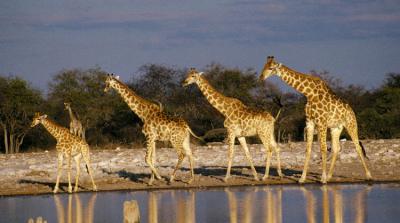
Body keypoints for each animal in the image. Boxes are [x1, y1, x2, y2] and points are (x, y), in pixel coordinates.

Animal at [260, 55, 372, 183]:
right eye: (264, 66)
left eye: (271, 68)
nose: (261, 77)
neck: (309, 94)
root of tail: (351, 111)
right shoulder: (310, 122)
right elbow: (308, 149)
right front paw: (302, 178)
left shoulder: (321, 122)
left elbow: (323, 148)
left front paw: (322, 178)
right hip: (336, 128)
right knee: (336, 148)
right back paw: (329, 176)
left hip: (351, 124)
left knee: (357, 147)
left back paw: (368, 175)